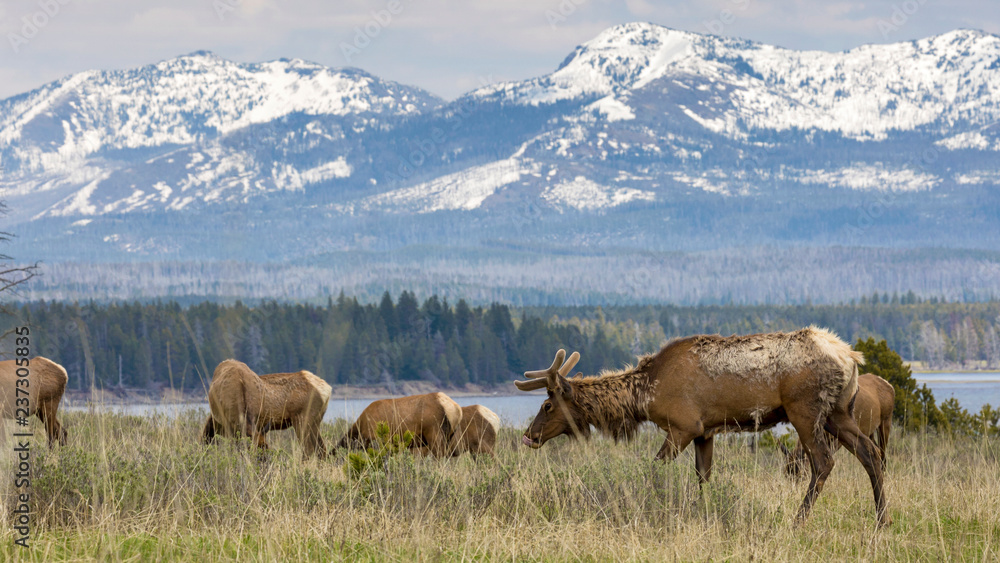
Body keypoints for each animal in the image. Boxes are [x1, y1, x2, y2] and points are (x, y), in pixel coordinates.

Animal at [514, 327, 889, 526]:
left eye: (547, 405)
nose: (529, 436)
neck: (644, 395)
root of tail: (851, 358)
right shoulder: (705, 432)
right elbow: (703, 479)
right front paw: (704, 513)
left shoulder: (683, 427)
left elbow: (655, 469)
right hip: (839, 413)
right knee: (871, 453)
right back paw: (882, 519)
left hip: (806, 411)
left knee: (824, 462)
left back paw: (798, 520)